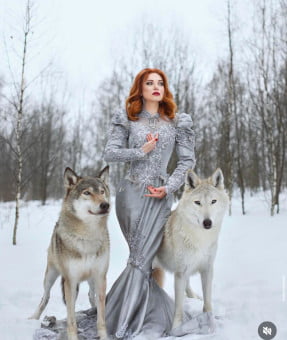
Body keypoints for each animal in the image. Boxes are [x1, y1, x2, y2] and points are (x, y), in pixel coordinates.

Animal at [155, 169, 230, 330]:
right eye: (198, 203)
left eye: (213, 201)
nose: (207, 223)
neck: (200, 239)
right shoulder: (181, 272)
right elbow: (178, 308)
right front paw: (176, 329)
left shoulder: (207, 269)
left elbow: (208, 302)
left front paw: (210, 321)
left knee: (188, 287)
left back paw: (194, 297)